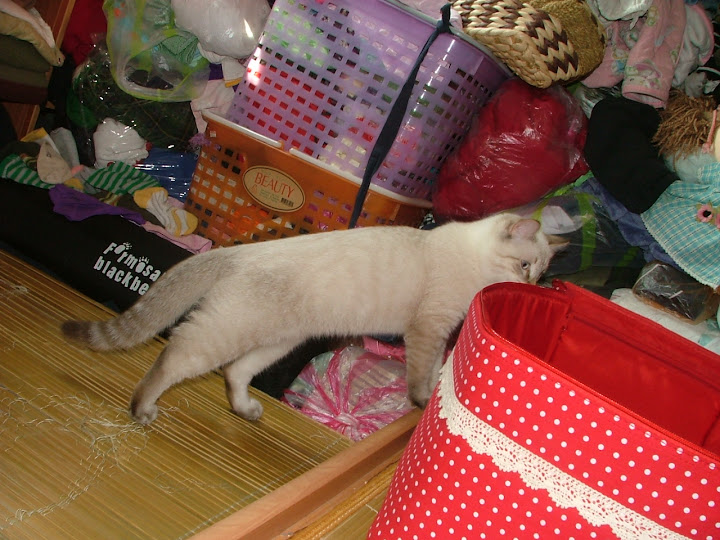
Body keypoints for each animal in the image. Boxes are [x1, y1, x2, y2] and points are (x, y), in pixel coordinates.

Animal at [61, 212, 566, 425]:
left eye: (541, 273)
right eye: (525, 266)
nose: (531, 285)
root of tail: (236, 252)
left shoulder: (443, 331)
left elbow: (439, 369)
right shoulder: (427, 328)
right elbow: (421, 377)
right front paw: (422, 403)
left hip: (279, 341)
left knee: (234, 373)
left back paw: (246, 411)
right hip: (223, 334)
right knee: (172, 358)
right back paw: (143, 410)